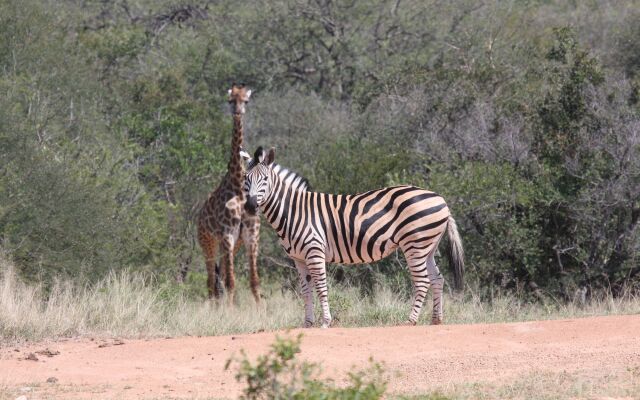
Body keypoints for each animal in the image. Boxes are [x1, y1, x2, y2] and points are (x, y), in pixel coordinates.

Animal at [195, 84, 260, 304]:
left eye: (246, 101)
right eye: (231, 100)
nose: (238, 112)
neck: (238, 187)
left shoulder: (250, 235)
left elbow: (254, 283)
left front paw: (262, 310)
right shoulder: (227, 234)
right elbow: (231, 282)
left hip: (231, 245)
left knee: (219, 278)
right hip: (208, 243)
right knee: (210, 281)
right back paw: (214, 307)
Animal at [245, 147, 464, 328]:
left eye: (265, 180)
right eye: (246, 179)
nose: (249, 206)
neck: (293, 211)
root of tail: (441, 199)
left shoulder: (314, 251)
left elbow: (321, 287)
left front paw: (325, 322)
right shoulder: (298, 258)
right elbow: (306, 291)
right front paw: (307, 323)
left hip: (415, 244)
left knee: (423, 281)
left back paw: (410, 320)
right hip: (428, 246)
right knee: (437, 279)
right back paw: (436, 319)